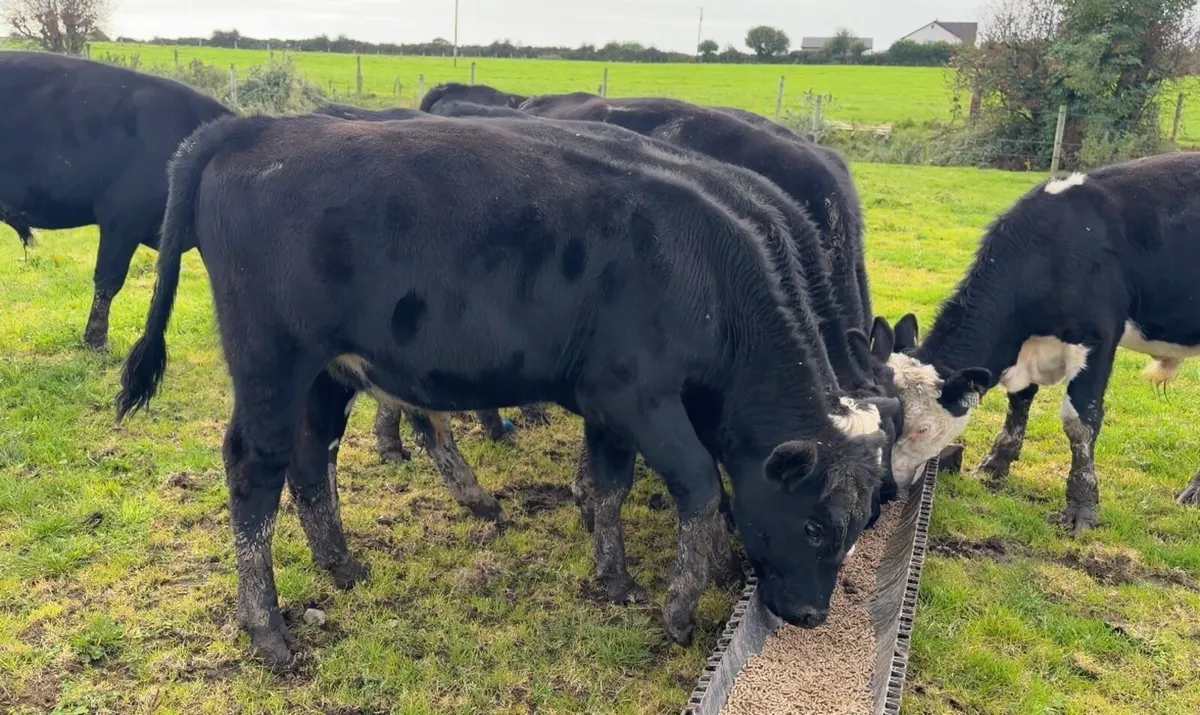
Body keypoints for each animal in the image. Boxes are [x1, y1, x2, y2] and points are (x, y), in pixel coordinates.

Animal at [114, 112, 889, 668]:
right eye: (815, 525)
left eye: (861, 522)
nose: (813, 616)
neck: (704, 269)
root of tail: (258, 127)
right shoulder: (643, 397)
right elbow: (701, 487)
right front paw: (676, 610)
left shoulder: (607, 402)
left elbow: (610, 483)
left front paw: (612, 577)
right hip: (271, 366)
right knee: (255, 471)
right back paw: (267, 628)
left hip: (326, 373)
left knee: (311, 461)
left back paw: (343, 564)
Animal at [879, 152, 1200, 535]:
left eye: (922, 429)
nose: (885, 486)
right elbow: (1019, 400)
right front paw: (996, 463)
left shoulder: (1098, 339)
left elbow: (1080, 421)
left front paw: (1081, 506)